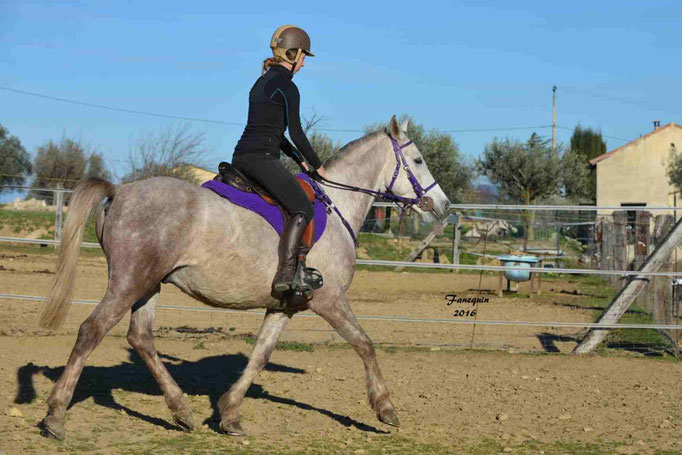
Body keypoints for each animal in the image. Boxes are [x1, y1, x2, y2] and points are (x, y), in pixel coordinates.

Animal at [37, 115, 452, 442]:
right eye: (418, 159)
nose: (444, 206)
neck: (337, 208)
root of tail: (120, 191)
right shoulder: (331, 300)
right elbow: (365, 344)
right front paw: (385, 408)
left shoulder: (285, 306)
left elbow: (260, 355)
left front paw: (230, 414)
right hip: (129, 282)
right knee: (91, 331)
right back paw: (56, 415)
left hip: (148, 285)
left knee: (141, 339)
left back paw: (182, 411)